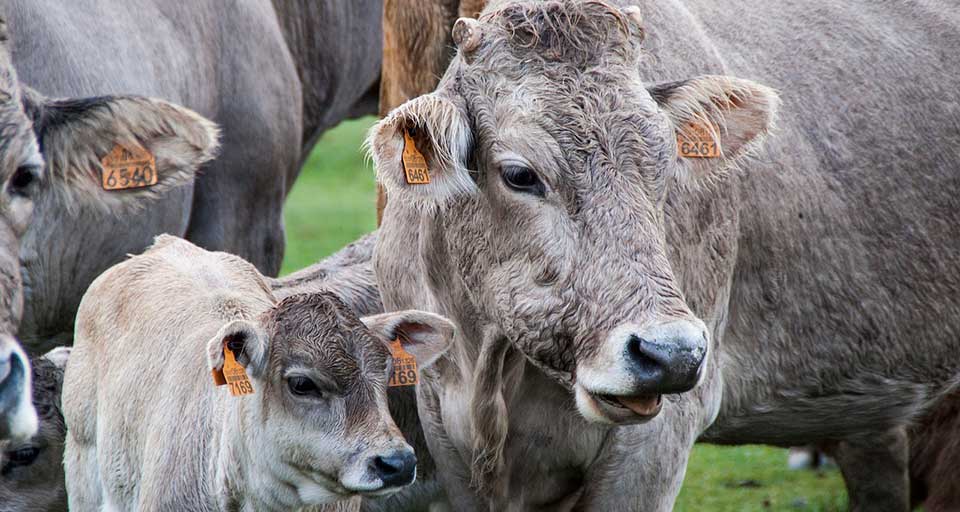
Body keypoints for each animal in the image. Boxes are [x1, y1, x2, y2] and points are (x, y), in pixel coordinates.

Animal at [368, 2, 960, 510]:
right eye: (519, 174)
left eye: (664, 163)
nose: (671, 353)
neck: (491, 366)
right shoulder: (444, 430)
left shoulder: (657, 442)